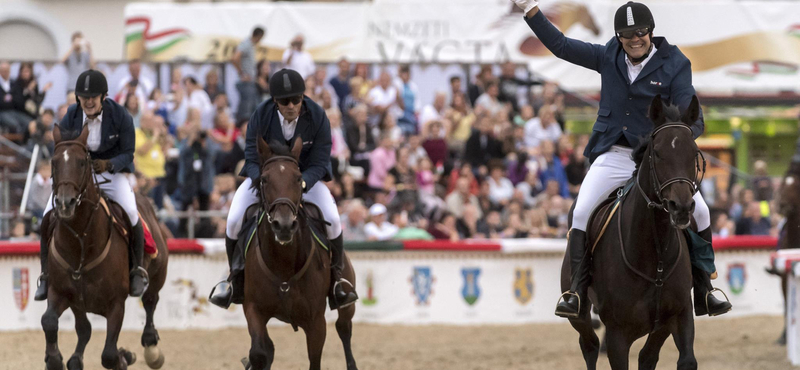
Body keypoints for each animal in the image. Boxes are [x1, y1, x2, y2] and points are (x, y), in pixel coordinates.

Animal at [42, 124, 169, 370]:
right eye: (54, 162)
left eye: (82, 162)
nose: (65, 203)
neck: (80, 243)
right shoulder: (61, 292)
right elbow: (49, 321)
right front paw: (53, 358)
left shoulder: (116, 304)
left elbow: (109, 354)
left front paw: (125, 356)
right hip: (79, 303)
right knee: (84, 330)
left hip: (157, 273)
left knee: (150, 301)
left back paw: (151, 348)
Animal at [242, 137, 358, 370]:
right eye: (264, 179)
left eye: (298, 179)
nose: (284, 226)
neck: (283, 261)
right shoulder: (253, 309)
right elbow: (260, 352)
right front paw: (252, 359)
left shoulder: (315, 321)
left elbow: (315, 360)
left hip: (346, 299)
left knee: (344, 328)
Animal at [560, 96, 704, 370]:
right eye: (657, 152)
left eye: (693, 152)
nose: (680, 207)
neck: (655, 252)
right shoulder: (618, 335)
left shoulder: (678, 317)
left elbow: (684, 360)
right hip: (579, 315)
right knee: (589, 345)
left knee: (646, 356)